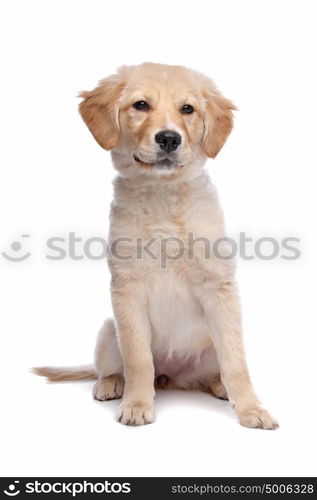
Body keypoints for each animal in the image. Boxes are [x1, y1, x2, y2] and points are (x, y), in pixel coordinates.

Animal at [34, 62, 276, 430]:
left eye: (187, 109)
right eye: (141, 105)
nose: (169, 138)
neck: (163, 194)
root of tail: (171, 376)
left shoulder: (219, 286)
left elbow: (236, 361)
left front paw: (251, 409)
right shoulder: (127, 288)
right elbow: (138, 359)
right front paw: (136, 404)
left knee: (216, 369)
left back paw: (219, 387)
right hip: (109, 331)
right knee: (116, 368)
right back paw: (111, 385)